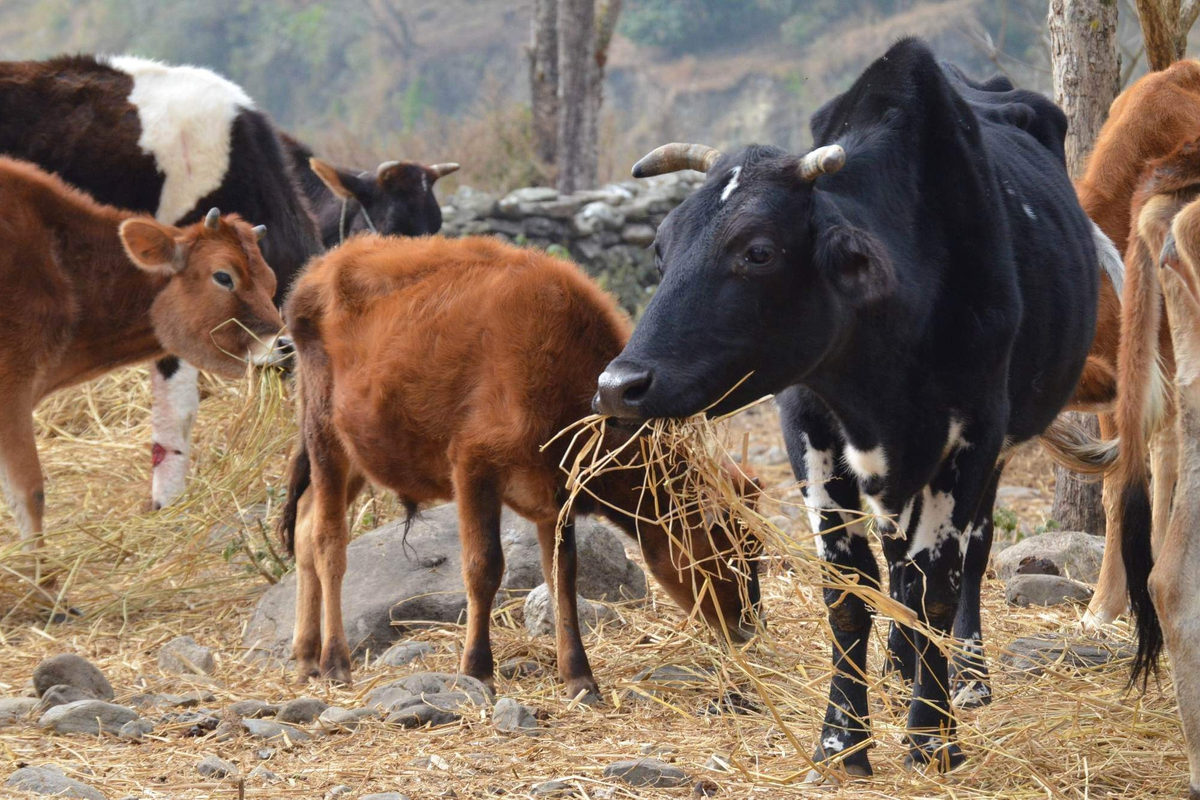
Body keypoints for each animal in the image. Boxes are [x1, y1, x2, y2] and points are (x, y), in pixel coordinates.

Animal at [0, 156, 283, 590]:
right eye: (223, 276)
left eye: (270, 281)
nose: (284, 344)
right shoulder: (11, 389)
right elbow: (29, 492)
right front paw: (43, 590)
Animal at [277, 234, 761, 698]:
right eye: (729, 549)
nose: (749, 626)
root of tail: (319, 268)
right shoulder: (473, 466)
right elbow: (484, 567)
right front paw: (477, 669)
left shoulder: (555, 495)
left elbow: (561, 577)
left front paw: (578, 676)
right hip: (324, 436)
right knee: (327, 541)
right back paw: (335, 661)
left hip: (357, 453)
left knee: (304, 528)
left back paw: (305, 657)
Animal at [592, 38, 1098, 775]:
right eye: (662, 248)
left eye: (758, 251)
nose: (618, 384)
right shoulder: (809, 427)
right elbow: (850, 591)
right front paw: (842, 739)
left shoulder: (973, 434)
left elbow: (940, 584)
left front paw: (931, 735)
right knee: (898, 562)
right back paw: (900, 665)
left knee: (967, 558)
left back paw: (966, 676)